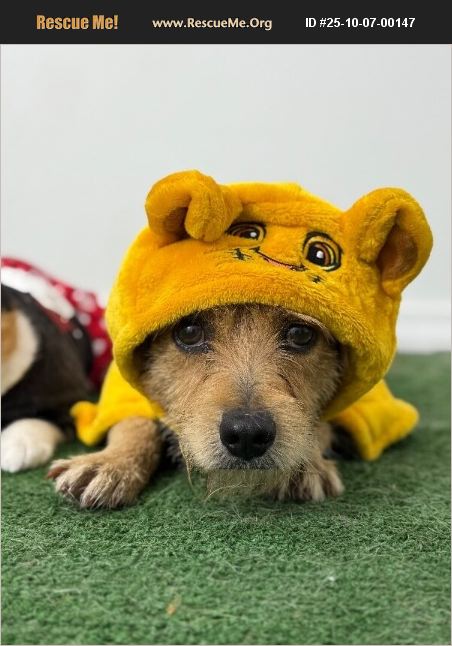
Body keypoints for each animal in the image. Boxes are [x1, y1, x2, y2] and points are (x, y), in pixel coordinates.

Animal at [48, 304, 347, 507]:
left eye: (300, 334)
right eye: (189, 332)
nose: (247, 434)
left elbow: (321, 426)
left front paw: (307, 465)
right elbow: (133, 422)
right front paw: (111, 462)